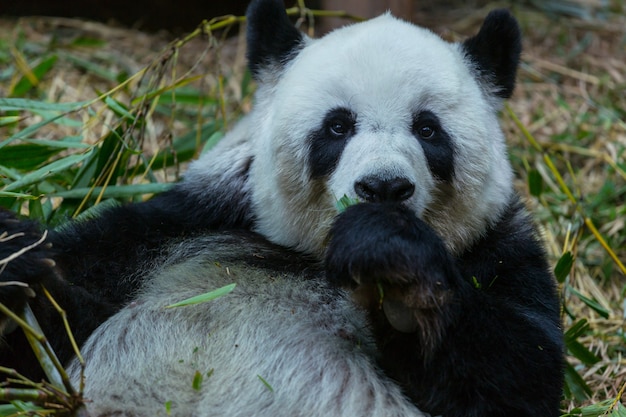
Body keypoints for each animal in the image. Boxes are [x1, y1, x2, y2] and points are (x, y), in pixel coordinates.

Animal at [0, 0, 560, 416]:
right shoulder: (186, 224)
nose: (383, 187)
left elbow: (519, 377)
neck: (313, 254)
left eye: (428, 129)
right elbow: (52, 341)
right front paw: (17, 258)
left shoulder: (497, 247)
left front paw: (394, 266)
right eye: (338, 126)